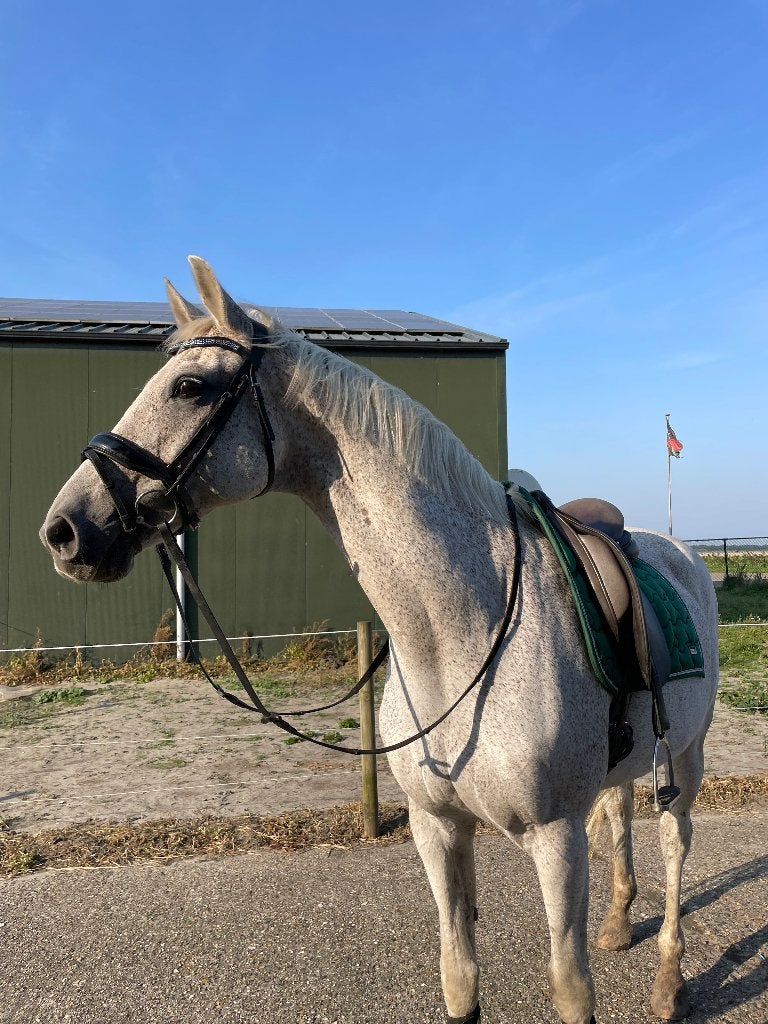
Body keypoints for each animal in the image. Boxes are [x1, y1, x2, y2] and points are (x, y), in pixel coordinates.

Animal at [40, 256, 719, 1024]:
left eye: (190, 387)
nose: (64, 530)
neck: (463, 632)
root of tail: (681, 551)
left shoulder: (556, 839)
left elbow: (570, 987)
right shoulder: (436, 827)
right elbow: (460, 973)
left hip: (686, 757)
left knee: (675, 843)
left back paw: (667, 980)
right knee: (622, 812)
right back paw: (616, 923)